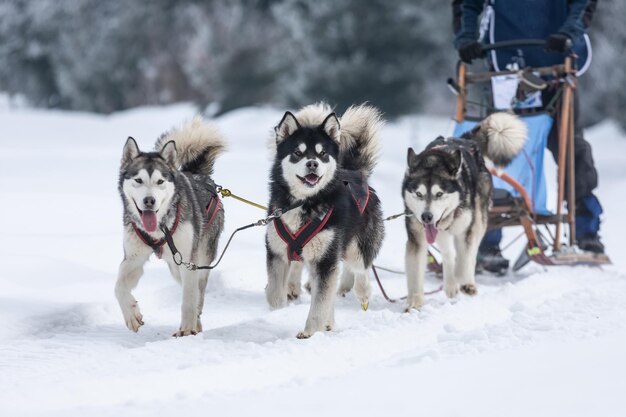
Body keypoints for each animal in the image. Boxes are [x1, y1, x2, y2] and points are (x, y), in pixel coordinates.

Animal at [116, 116, 225, 334]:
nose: (149, 201)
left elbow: (189, 300)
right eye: (138, 180)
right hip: (175, 266)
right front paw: (132, 314)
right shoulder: (133, 259)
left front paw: (187, 331)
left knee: (198, 292)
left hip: (199, 259)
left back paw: (195, 323)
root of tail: (197, 174)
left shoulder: (189, 262)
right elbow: (118, 287)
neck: (160, 228)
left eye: (160, 181)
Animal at [262, 102, 382, 336]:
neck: (303, 203)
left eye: (323, 153)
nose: (312, 164)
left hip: (353, 248)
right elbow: (274, 292)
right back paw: (329, 322)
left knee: (361, 269)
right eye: (297, 153)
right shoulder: (277, 252)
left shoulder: (325, 260)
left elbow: (320, 302)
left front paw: (309, 331)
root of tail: (355, 172)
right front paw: (279, 301)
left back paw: (362, 292)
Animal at [402, 112, 524, 310]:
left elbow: (465, 257)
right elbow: (416, 272)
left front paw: (462, 281)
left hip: (478, 220)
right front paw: (414, 304)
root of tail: (465, 139)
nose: (426, 217)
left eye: (439, 194)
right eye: (419, 194)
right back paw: (451, 284)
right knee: (449, 253)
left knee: (470, 254)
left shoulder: (467, 230)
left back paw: (466, 283)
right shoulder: (417, 237)